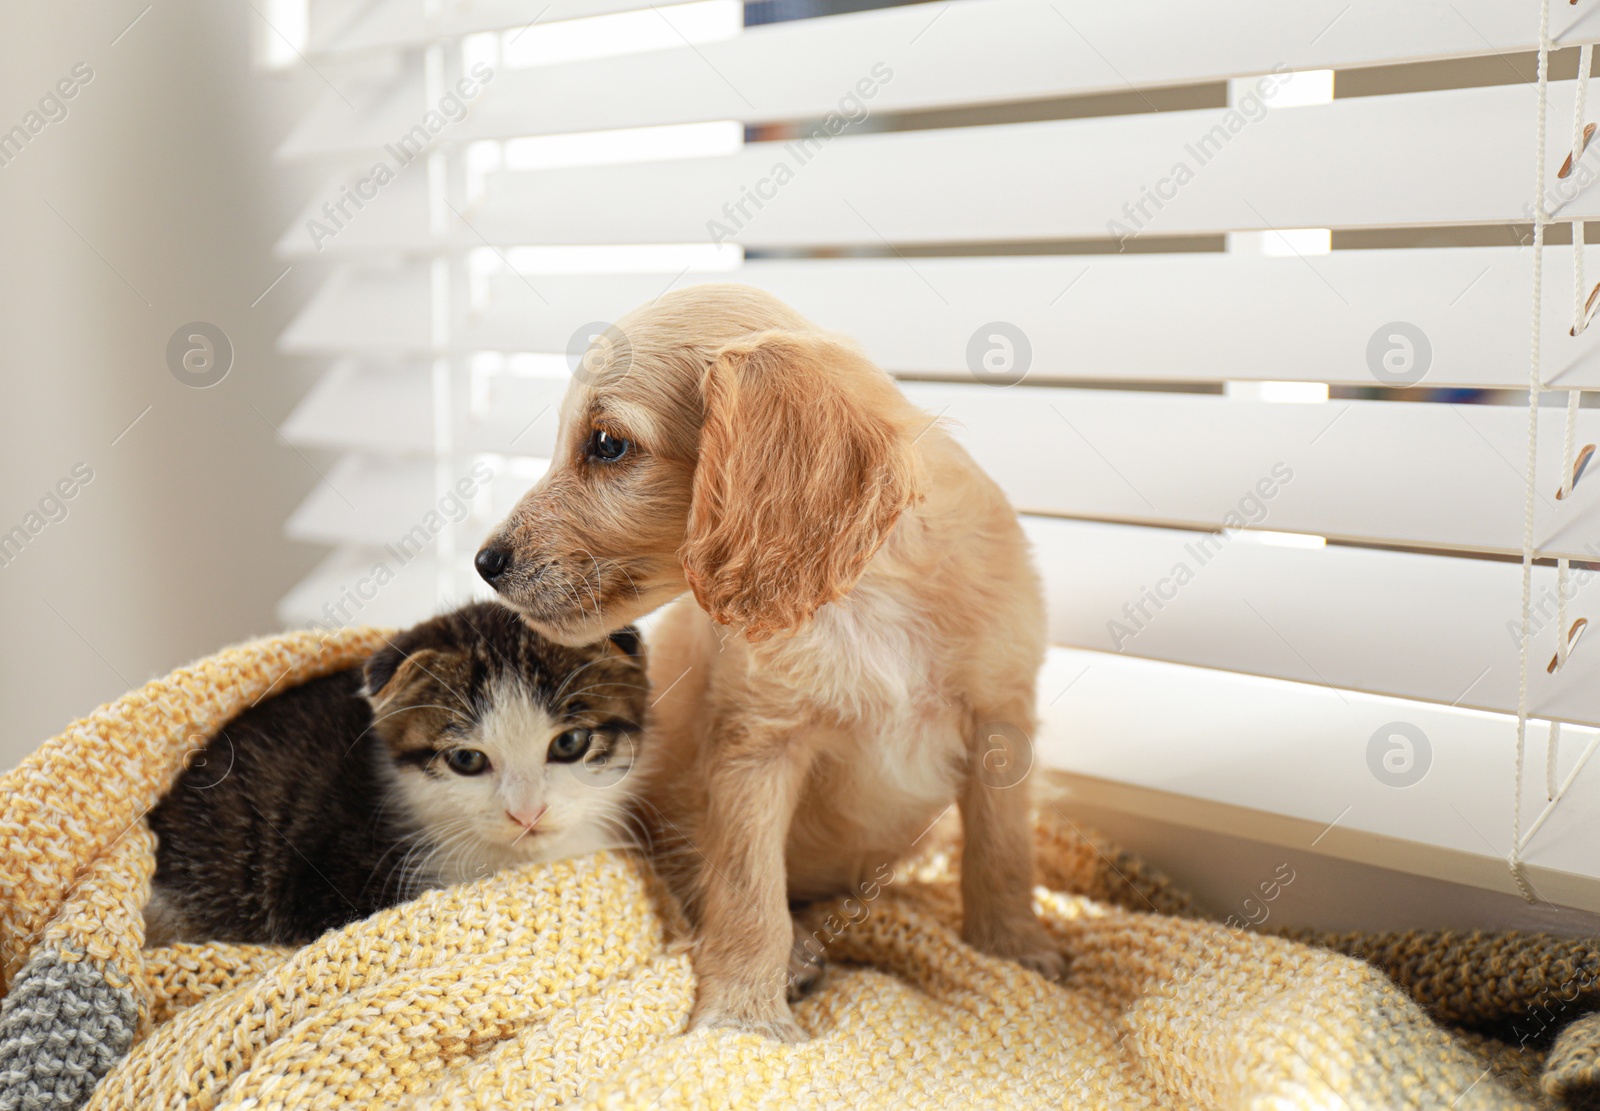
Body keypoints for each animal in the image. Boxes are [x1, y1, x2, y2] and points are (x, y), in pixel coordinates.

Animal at [470, 284, 1062, 1043]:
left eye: (607, 444)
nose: (484, 562)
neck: (861, 598)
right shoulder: (755, 748)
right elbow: (749, 893)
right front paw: (744, 1017)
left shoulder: (1000, 714)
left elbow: (1001, 850)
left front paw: (1012, 949)